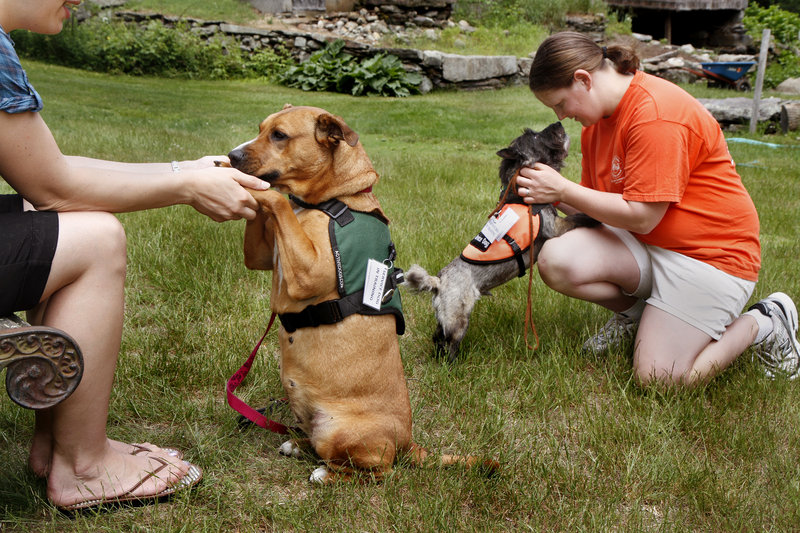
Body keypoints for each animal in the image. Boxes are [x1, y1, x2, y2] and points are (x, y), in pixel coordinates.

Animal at [231, 104, 494, 482]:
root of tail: (408, 444)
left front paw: (256, 189)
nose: (231, 156)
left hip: (341, 435)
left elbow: (277, 201)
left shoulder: (308, 272)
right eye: (261, 129)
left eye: (280, 135)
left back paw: (325, 475)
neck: (334, 200)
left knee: (374, 471)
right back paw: (297, 444)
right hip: (314, 423)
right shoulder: (262, 256)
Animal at [404, 121, 596, 362]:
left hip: (445, 318)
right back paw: (451, 364)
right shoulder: (554, 227)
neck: (520, 194)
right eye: (534, 137)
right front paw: (593, 218)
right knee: (449, 343)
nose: (558, 123)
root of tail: (438, 282)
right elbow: (576, 218)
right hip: (458, 320)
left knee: (437, 337)